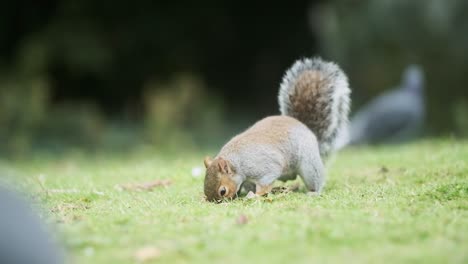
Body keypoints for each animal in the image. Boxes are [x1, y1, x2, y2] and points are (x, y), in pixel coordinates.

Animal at [203, 57, 350, 202]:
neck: (237, 161)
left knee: (315, 179)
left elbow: (266, 181)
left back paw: (313, 192)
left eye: (222, 191)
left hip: (308, 163)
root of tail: (306, 128)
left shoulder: (263, 166)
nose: (215, 202)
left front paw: (255, 195)